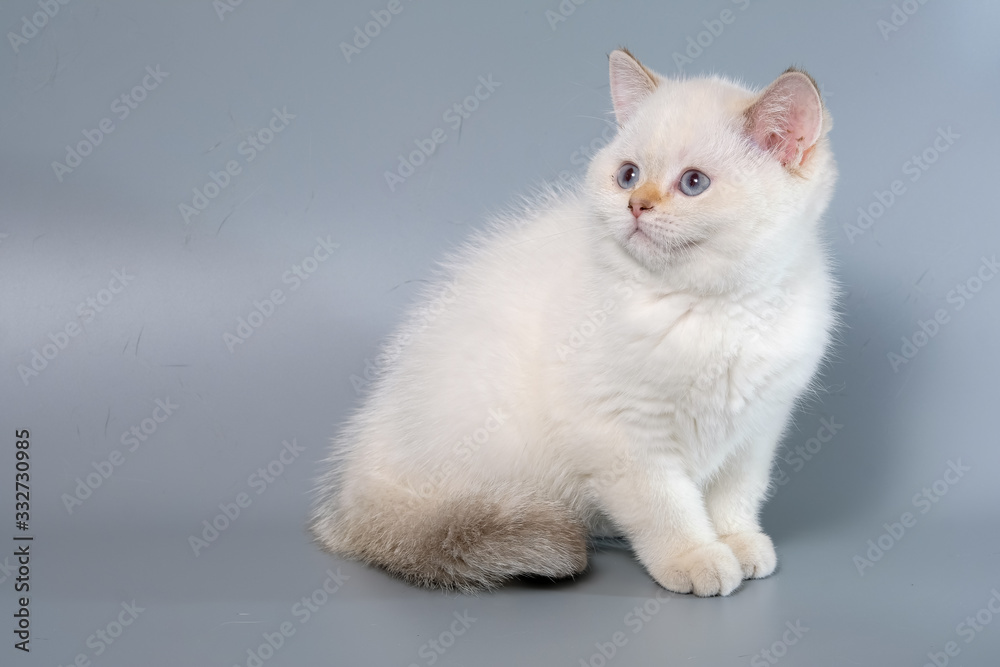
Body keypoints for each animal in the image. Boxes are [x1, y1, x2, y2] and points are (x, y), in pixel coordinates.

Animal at [312, 49, 836, 596]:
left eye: (694, 183)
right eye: (628, 175)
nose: (636, 204)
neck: (710, 308)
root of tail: (352, 491)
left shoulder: (757, 429)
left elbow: (735, 496)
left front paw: (739, 542)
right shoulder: (621, 434)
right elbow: (668, 508)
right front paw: (696, 557)